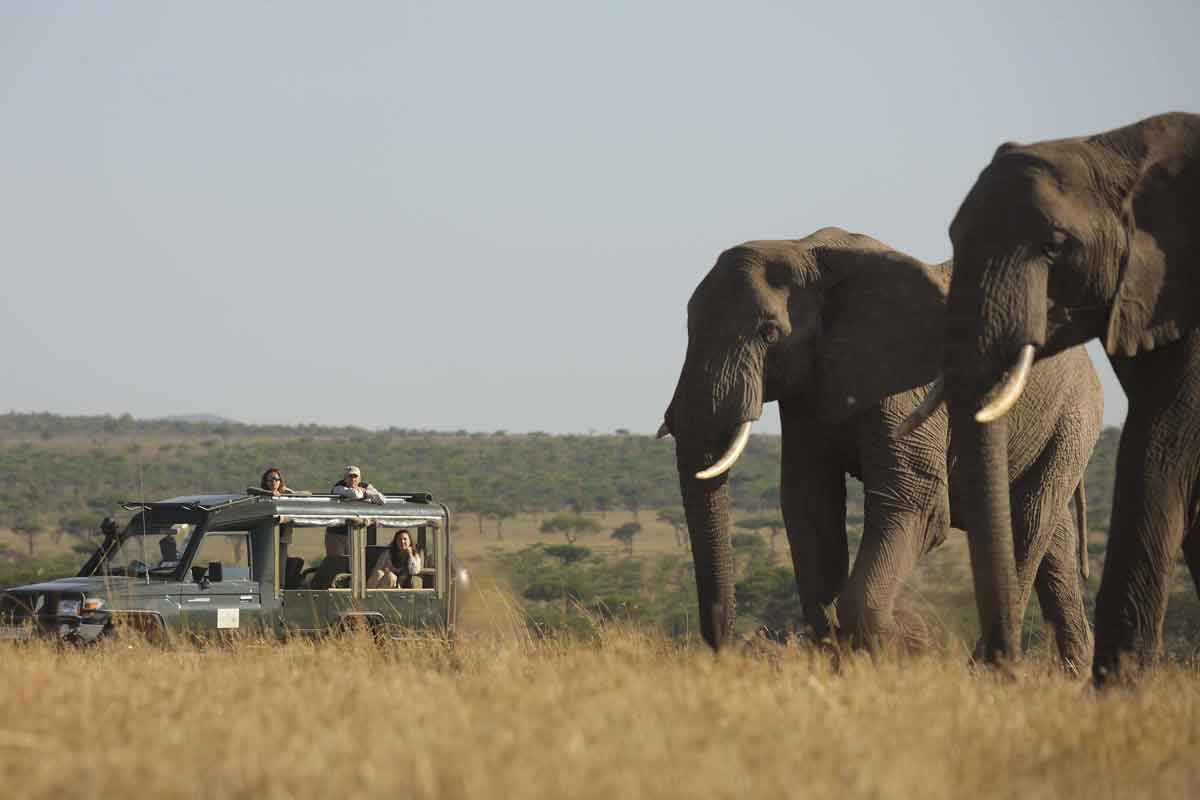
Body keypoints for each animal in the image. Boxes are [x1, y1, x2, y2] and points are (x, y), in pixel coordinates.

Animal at [662, 226, 1099, 671]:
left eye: (769, 334)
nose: (725, 648)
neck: (806, 252)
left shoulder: (907, 379)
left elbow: (914, 502)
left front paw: (910, 643)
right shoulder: (809, 385)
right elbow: (809, 504)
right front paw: (844, 657)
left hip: (1072, 415)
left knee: (1028, 523)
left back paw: (987, 670)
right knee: (1053, 541)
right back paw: (1073, 673)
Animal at [902, 112, 1200, 686]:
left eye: (1057, 245)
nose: (1007, 668)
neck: (1117, 149)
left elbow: (1162, 444)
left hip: (1074, 420)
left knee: (1036, 518)